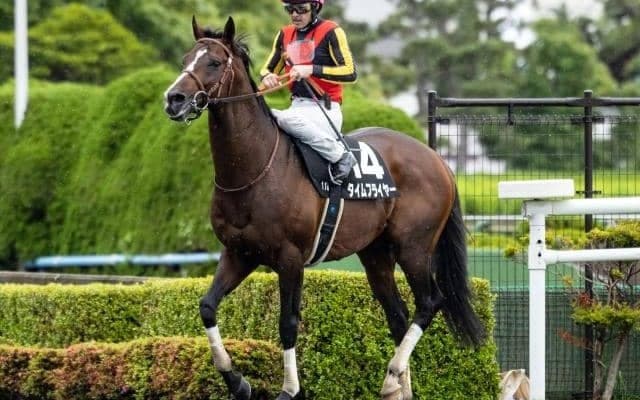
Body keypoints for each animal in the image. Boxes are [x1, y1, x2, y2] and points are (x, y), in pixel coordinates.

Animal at [164, 16, 485, 400]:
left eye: (213, 62)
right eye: (186, 58)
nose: (174, 99)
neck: (255, 168)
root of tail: (438, 160)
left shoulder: (290, 258)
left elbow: (287, 323)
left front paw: (289, 390)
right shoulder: (239, 253)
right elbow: (207, 307)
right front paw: (237, 381)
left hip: (414, 248)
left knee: (429, 302)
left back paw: (392, 374)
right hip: (376, 254)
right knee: (398, 315)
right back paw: (397, 385)